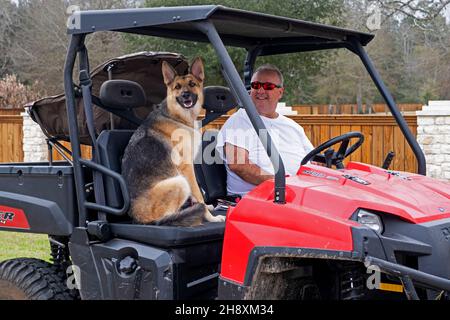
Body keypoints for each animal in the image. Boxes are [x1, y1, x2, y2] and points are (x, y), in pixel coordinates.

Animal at [121, 58, 225, 228]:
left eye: (192, 84)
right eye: (177, 87)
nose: (185, 95)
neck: (176, 116)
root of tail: (138, 219)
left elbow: (196, 195)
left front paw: (206, 207)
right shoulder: (187, 168)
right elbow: (198, 194)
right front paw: (210, 217)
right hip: (179, 182)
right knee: (169, 218)